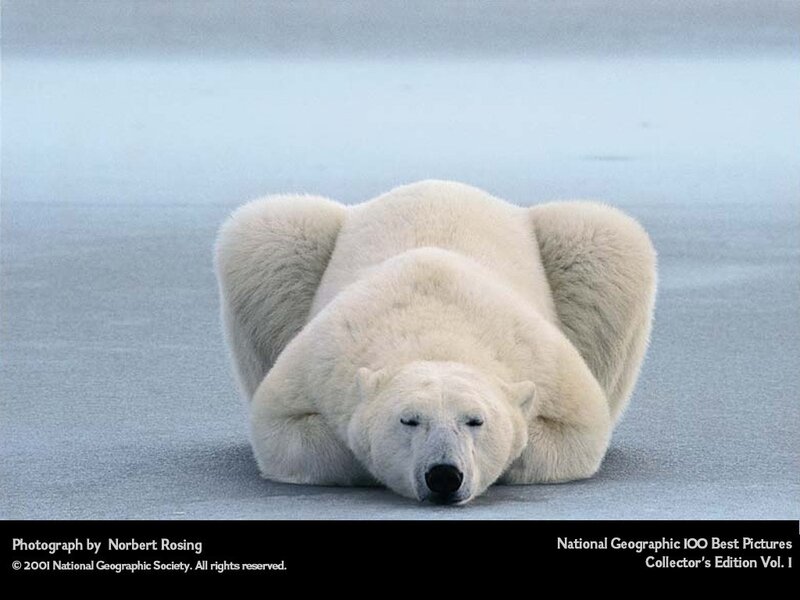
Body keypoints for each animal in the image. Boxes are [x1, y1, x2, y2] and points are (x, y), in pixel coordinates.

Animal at [214, 180, 656, 504]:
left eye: (475, 420)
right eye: (409, 419)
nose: (444, 475)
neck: (437, 331)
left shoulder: (542, 362)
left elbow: (578, 431)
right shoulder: (324, 358)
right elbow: (282, 428)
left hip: (580, 249)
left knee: (604, 238)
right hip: (293, 245)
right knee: (267, 233)